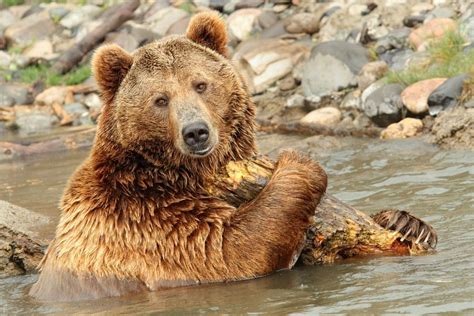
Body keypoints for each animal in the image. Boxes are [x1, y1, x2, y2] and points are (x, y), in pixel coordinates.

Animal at [27, 10, 328, 302]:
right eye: (160, 99)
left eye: (200, 84)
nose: (195, 132)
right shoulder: (144, 220)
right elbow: (226, 249)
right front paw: (299, 163)